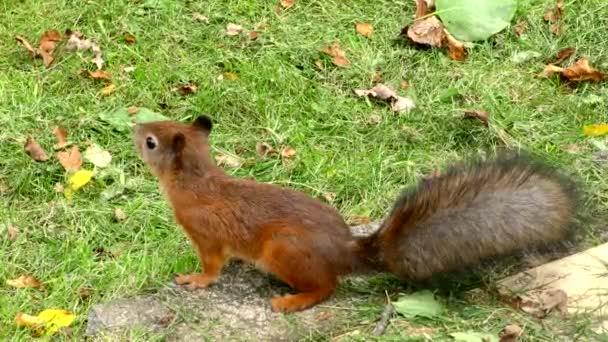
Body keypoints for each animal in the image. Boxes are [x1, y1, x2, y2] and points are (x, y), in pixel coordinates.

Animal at [133, 115, 580, 312]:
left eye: (152, 142)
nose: (136, 129)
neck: (196, 180)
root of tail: (345, 254)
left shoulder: (205, 232)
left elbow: (211, 266)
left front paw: (195, 280)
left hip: (284, 250)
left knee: (326, 288)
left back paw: (292, 301)